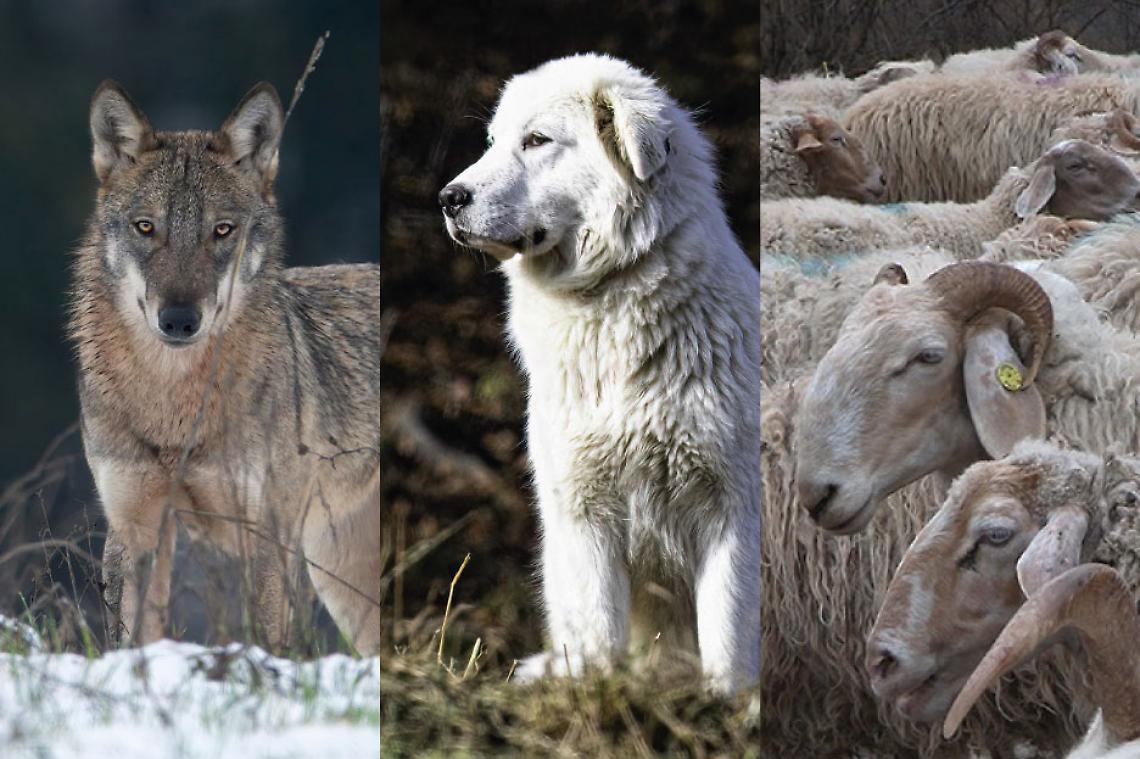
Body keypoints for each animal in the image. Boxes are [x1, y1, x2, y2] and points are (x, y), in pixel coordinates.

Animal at [71, 81, 381, 652]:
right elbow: (129, 642)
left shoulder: (266, 536)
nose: (178, 320)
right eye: (146, 227)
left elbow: (266, 640)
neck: (173, 407)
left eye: (221, 230)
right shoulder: (133, 529)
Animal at [439, 54, 761, 693]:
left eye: (536, 141)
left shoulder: (730, 511)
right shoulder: (585, 513)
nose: (447, 198)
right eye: (492, 143)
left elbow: (728, 641)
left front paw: (727, 705)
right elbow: (600, 638)